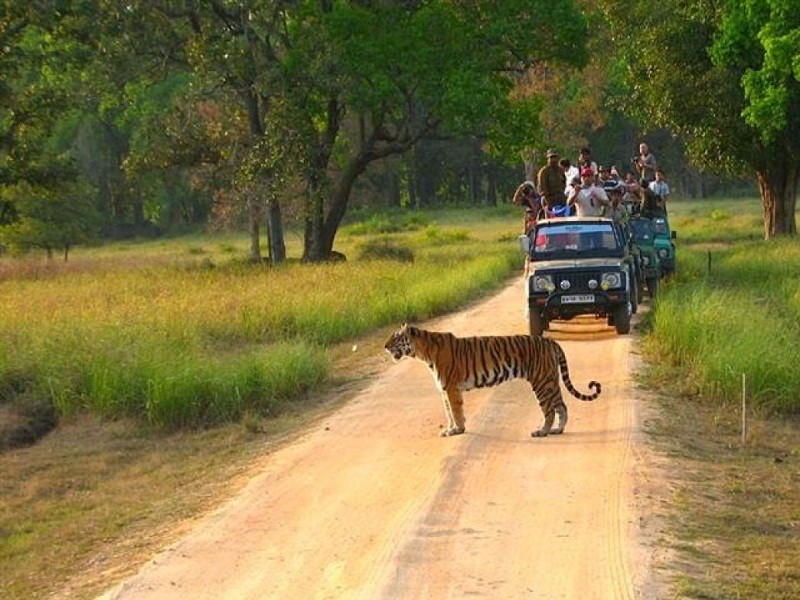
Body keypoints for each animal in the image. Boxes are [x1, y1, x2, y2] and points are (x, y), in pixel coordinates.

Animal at [382, 326, 600, 438]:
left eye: (396, 338)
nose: (384, 346)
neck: (423, 352)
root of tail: (550, 341)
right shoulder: (444, 390)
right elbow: (449, 412)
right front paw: (450, 429)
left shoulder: (450, 388)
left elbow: (455, 411)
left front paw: (457, 430)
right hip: (550, 380)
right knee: (562, 406)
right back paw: (557, 430)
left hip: (541, 381)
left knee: (549, 410)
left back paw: (542, 431)